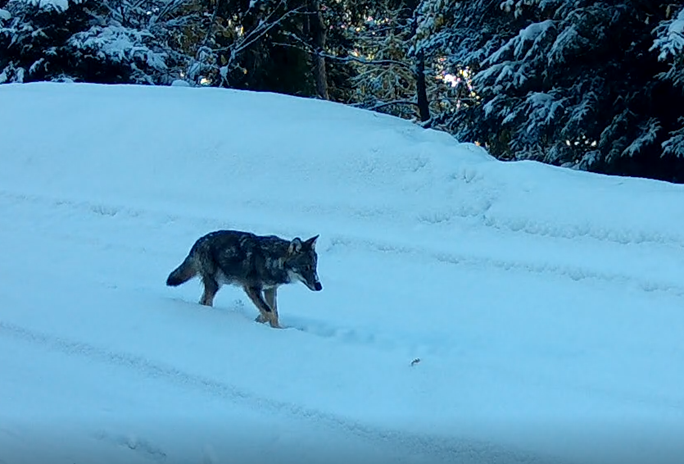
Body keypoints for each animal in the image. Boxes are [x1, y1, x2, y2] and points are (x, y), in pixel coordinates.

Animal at [166, 229, 322, 328]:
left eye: (315, 267)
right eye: (306, 268)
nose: (319, 286)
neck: (272, 261)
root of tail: (198, 242)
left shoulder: (270, 290)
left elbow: (274, 312)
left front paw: (277, 329)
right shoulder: (251, 289)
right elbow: (268, 312)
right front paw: (260, 322)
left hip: (217, 284)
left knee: (202, 301)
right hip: (215, 284)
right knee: (206, 302)